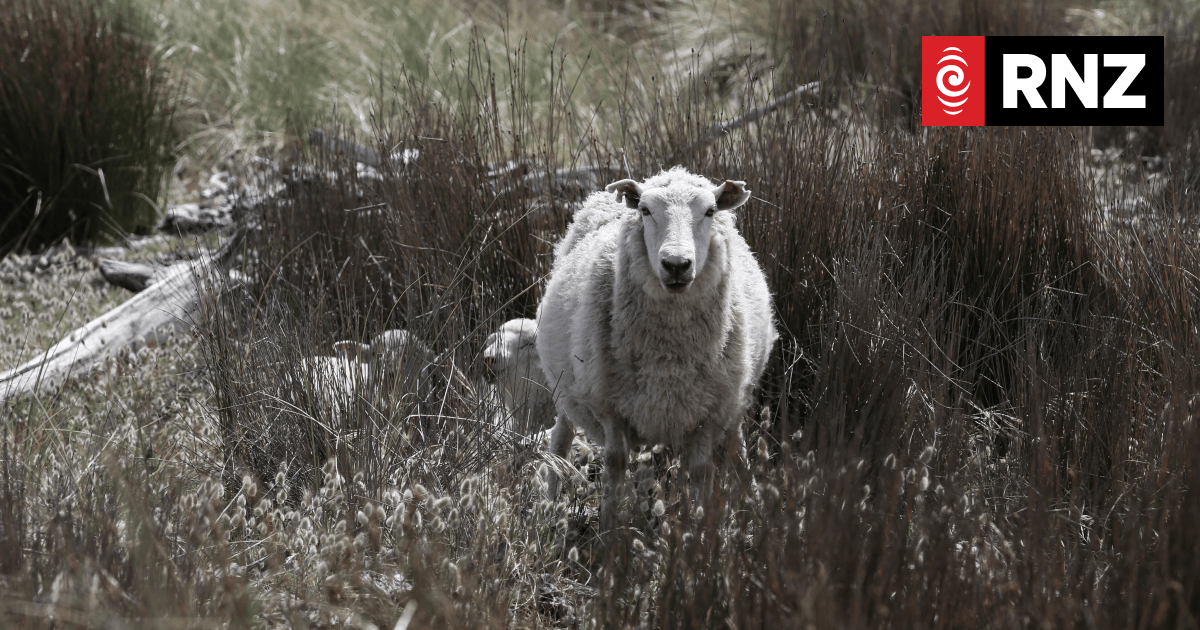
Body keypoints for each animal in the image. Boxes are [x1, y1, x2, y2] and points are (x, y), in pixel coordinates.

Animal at [537, 166, 778, 531]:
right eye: (645, 211)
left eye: (710, 211)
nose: (676, 264)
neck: (669, 355)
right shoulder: (612, 409)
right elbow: (615, 465)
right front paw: (609, 531)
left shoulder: (708, 412)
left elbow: (701, 472)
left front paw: (703, 532)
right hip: (566, 388)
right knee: (560, 440)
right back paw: (551, 506)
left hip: (733, 400)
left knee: (736, 446)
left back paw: (752, 503)